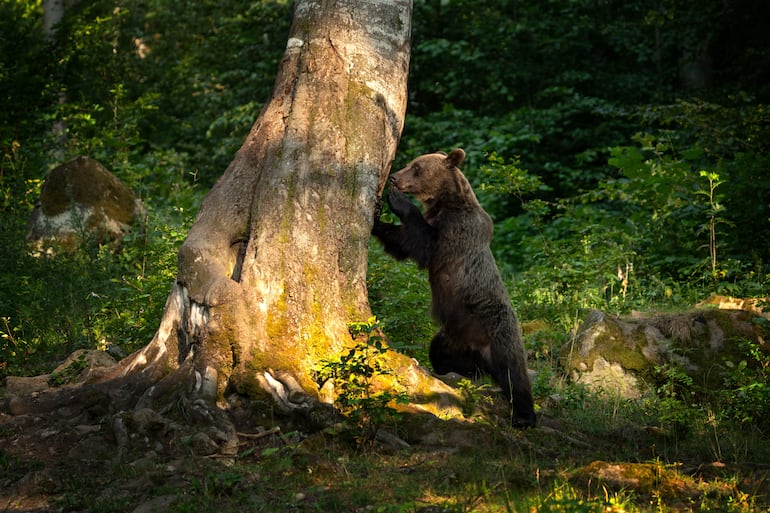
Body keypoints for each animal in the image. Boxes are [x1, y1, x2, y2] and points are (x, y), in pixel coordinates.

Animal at [372, 148, 536, 428]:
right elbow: (403, 241)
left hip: (498, 328)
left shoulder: (456, 233)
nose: (394, 178)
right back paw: (457, 371)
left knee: (513, 373)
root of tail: (479, 349)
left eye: (416, 167)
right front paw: (376, 218)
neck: (444, 203)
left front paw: (395, 201)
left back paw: (525, 416)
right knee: (439, 353)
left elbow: (424, 245)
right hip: (451, 337)